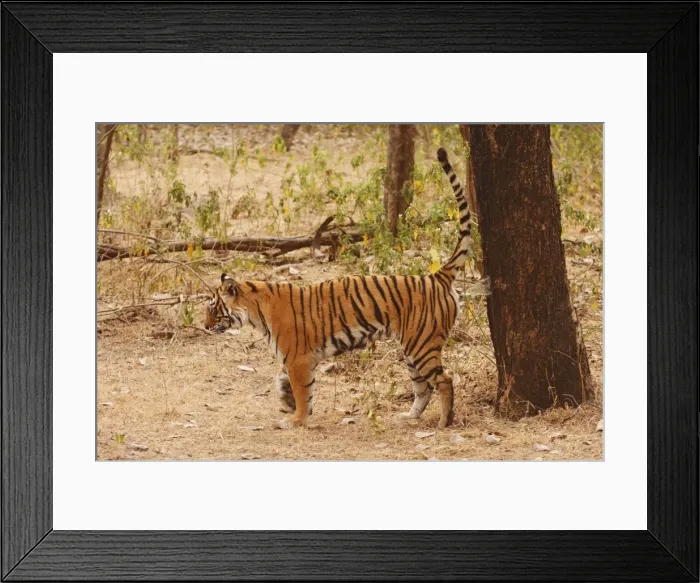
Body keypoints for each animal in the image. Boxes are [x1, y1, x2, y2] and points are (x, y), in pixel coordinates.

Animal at [205, 147, 472, 429]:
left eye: (213, 308)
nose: (205, 326)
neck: (256, 312)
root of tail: (437, 277)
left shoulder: (298, 359)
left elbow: (302, 390)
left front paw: (296, 419)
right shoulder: (297, 359)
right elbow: (285, 382)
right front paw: (288, 403)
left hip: (422, 345)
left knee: (444, 380)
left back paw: (444, 422)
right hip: (412, 349)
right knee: (423, 388)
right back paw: (408, 416)